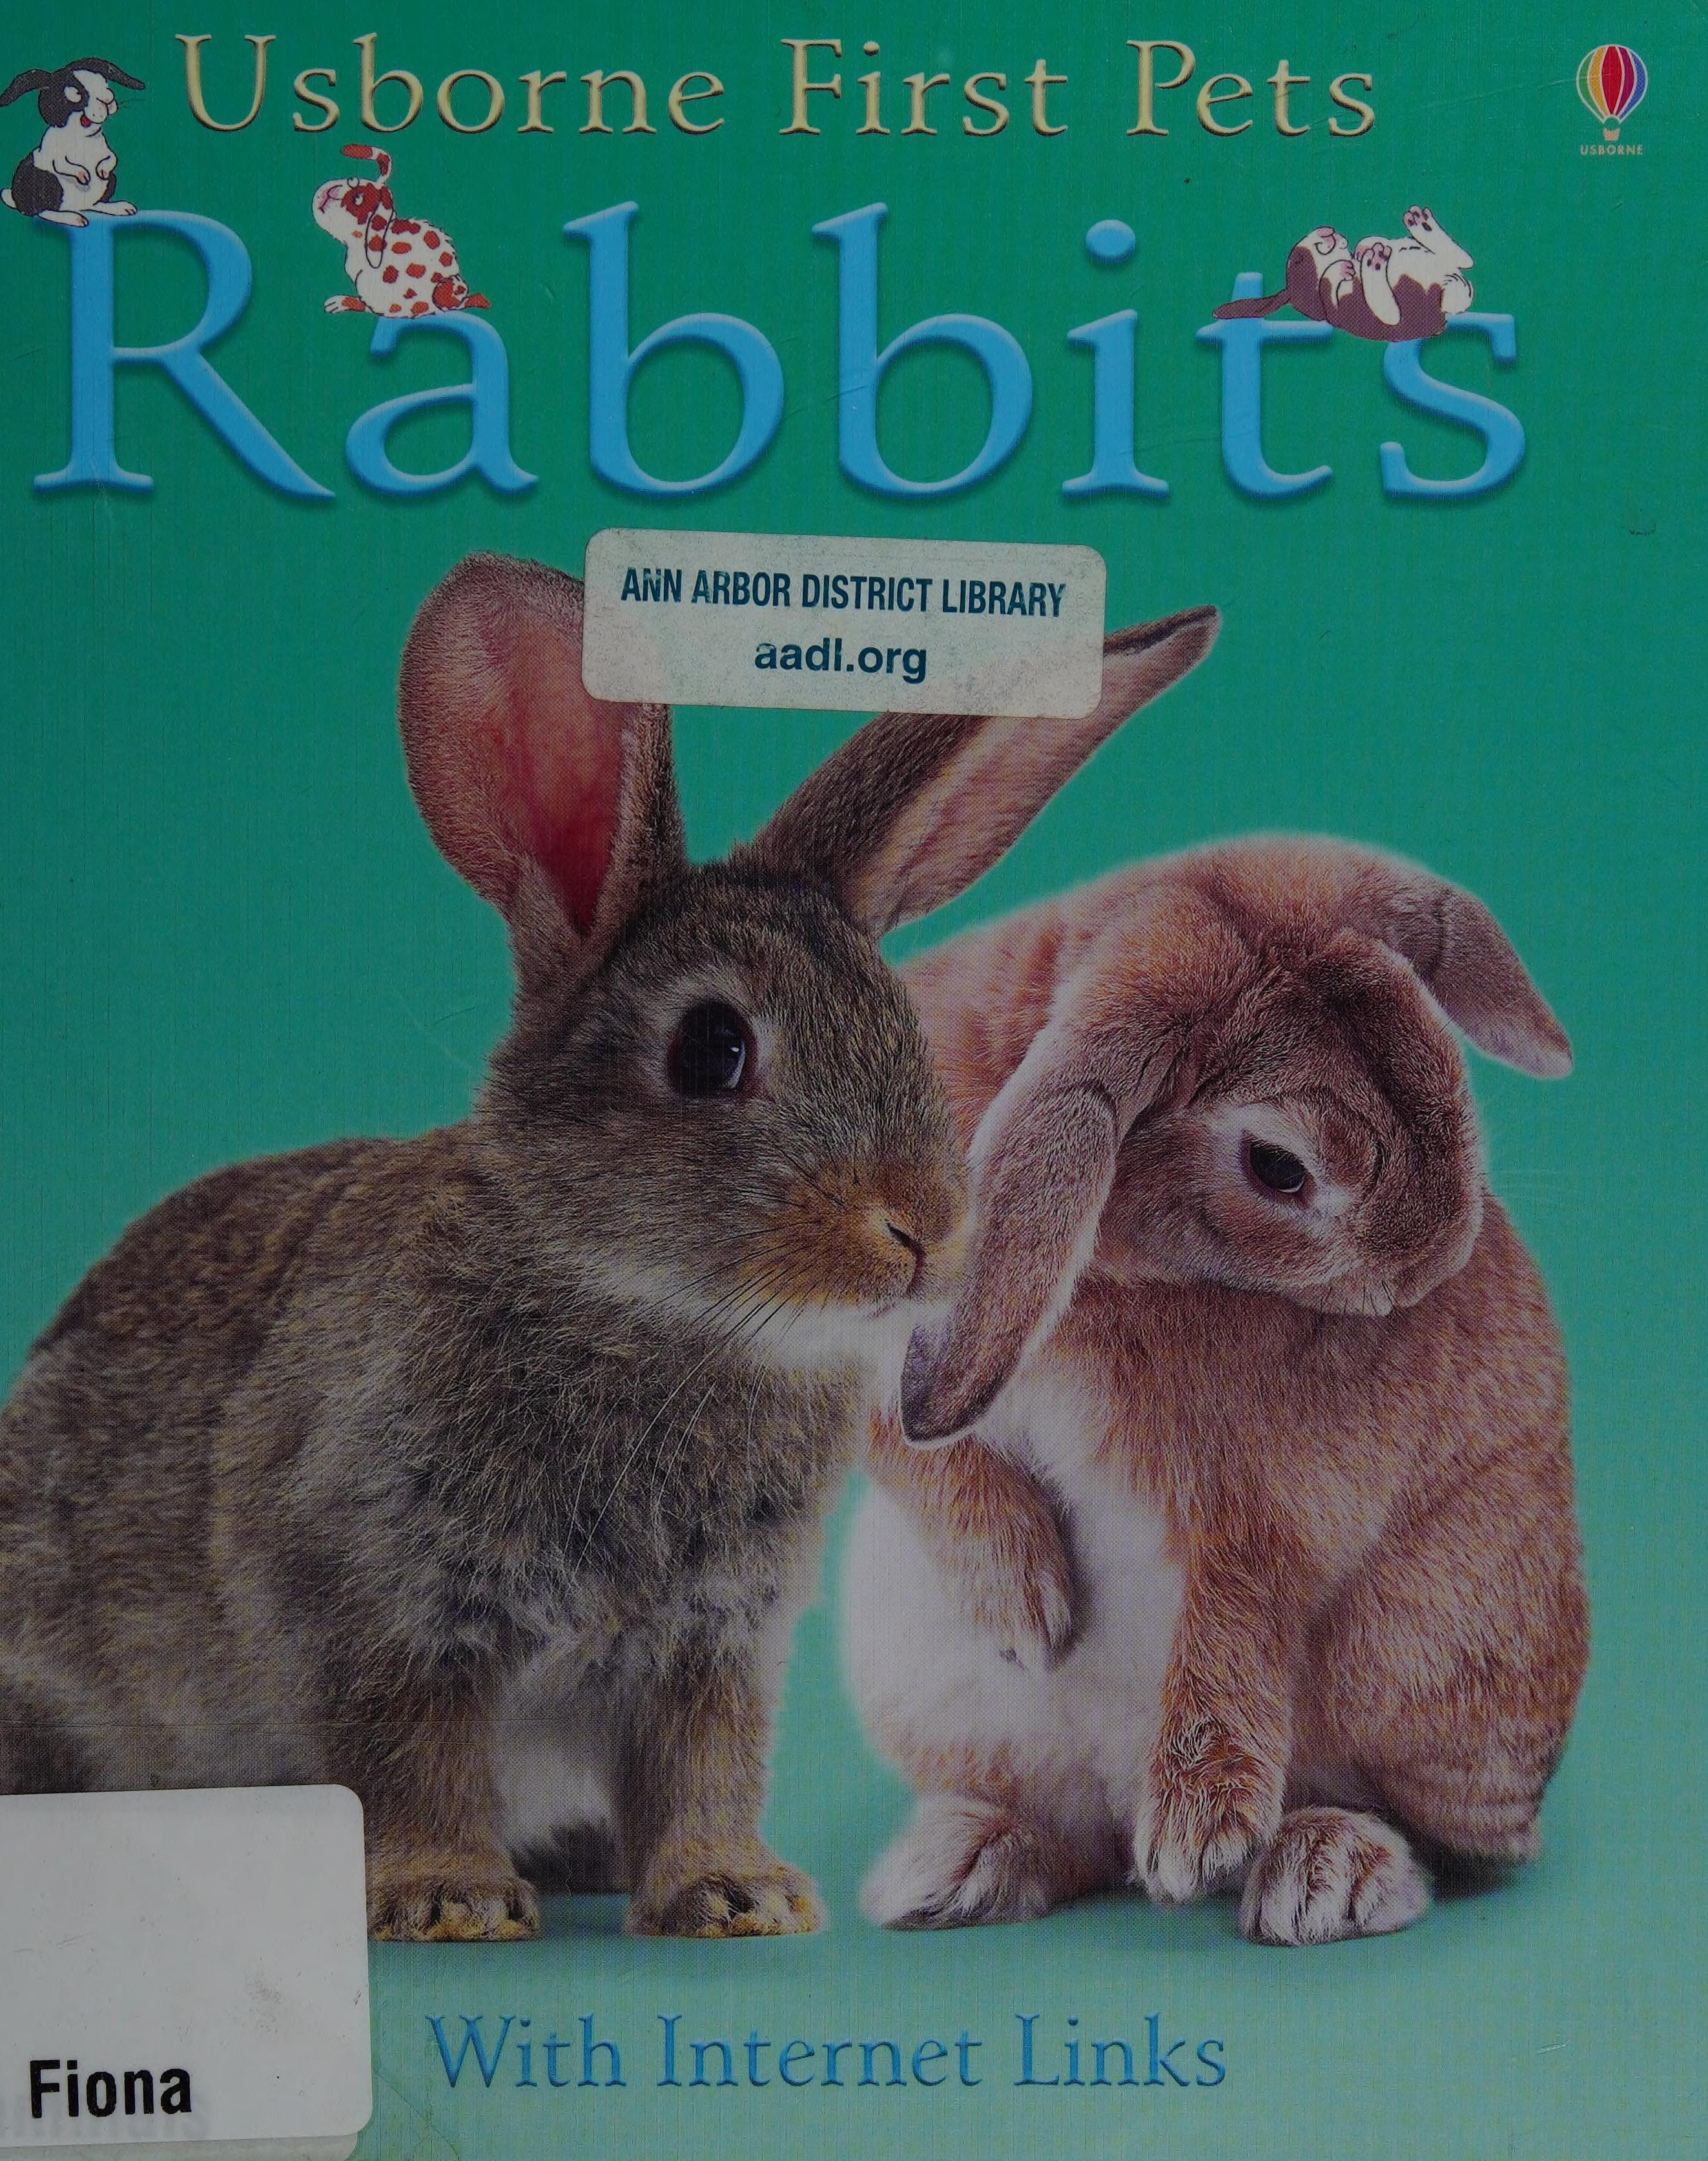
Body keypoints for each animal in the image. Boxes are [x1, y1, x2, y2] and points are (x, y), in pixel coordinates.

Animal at [0, 550, 1220, 1942]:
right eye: (711, 1050)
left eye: (904, 1029)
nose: (923, 1229)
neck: (647, 1305)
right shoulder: (379, 1605)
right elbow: (407, 1757)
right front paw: (449, 1897)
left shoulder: (711, 1642)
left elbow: (698, 1764)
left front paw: (734, 1890)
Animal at [843, 835, 1587, 1947]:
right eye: (1278, 1166)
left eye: (1441, 1061)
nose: (1434, 1258)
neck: (1111, 1268)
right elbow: (912, 1449)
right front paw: (1026, 1608)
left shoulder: (1273, 1507)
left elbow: (1238, 1607)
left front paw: (1199, 1832)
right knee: (1075, 1835)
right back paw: (959, 1864)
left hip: (1423, 1670)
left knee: (1433, 1841)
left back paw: (1323, 1871)